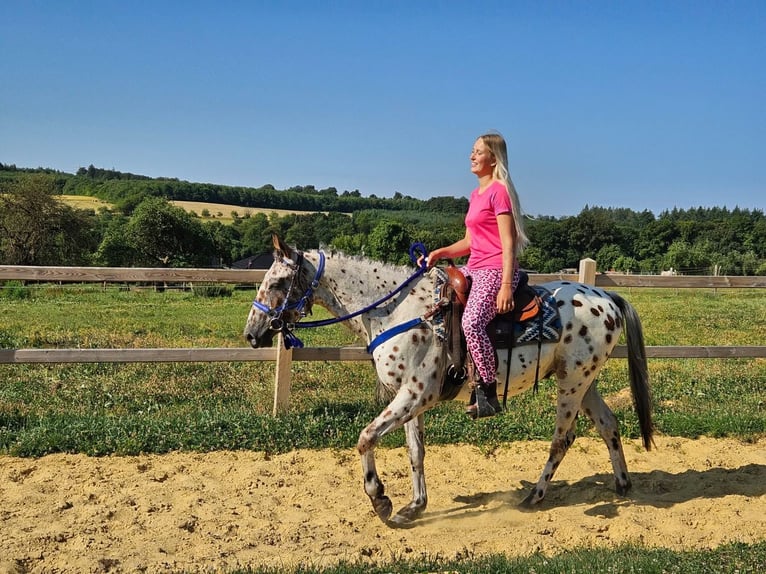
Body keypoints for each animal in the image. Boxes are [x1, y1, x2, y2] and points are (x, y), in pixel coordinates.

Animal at [243, 235, 653, 526]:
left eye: (279, 281)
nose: (252, 333)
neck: (397, 311)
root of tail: (607, 297)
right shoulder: (408, 397)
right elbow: (415, 452)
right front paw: (414, 506)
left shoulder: (416, 394)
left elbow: (366, 437)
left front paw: (380, 500)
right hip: (583, 380)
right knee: (608, 424)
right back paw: (622, 485)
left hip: (571, 385)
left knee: (562, 439)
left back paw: (534, 497)